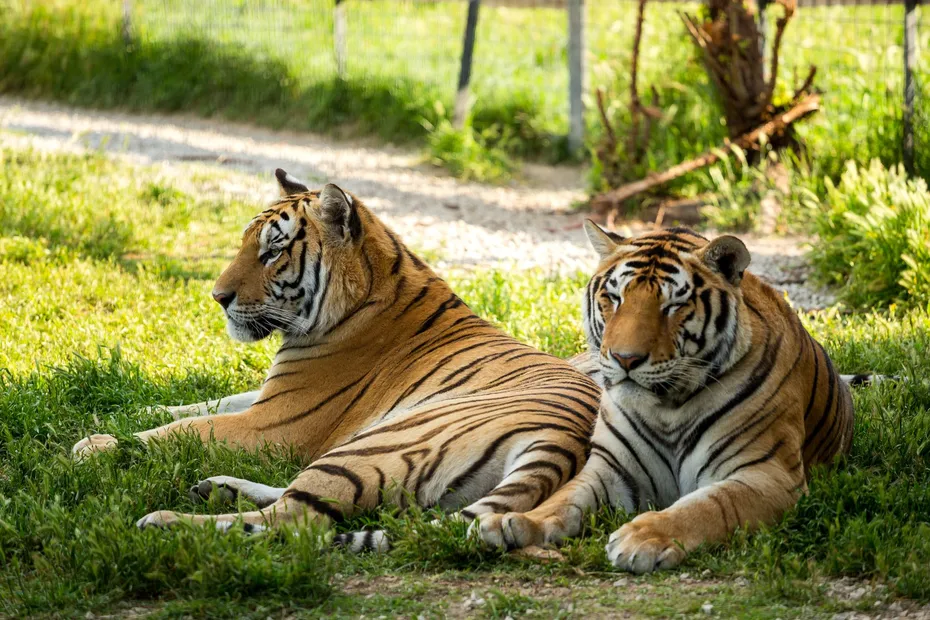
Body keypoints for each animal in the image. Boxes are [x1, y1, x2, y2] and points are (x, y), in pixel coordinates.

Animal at [71, 169, 601, 547]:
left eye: (273, 252)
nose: (217, 297)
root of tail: (563, 443)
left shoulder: (276, 422)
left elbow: (183, 429)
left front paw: (97, 445)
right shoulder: (267, 396)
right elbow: (200, 404)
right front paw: (117, 414)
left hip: (377, 440)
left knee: (296, 519)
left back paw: (166, 522)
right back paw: (216, 487)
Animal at [475, 222, 857, 573]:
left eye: (673, 305)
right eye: (615, 298)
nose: (625, 359)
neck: (668, 408)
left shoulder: (767, 474)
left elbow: (707, 506)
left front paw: (641, 538)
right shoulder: (613, 468)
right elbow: (564, 499)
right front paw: (512, 521)